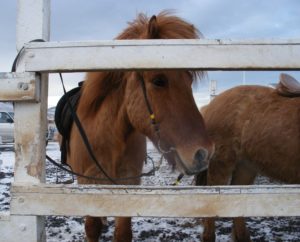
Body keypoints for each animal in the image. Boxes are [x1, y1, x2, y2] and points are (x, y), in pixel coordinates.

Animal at [67, 11, 214, 242]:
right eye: (159, 80)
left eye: (190, 80)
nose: (203, 153)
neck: (108, 139)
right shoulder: (87, 184)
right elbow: (92, 228)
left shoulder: (130, 182)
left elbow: (123, 232)